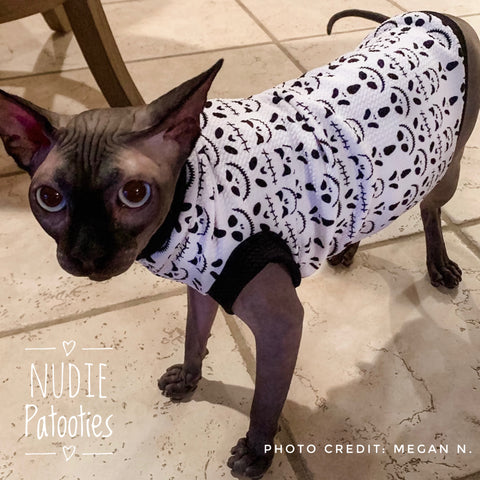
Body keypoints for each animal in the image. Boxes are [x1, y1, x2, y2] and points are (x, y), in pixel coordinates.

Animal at [1, 9, 479, 479]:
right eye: (49, 199)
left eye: (135, 193)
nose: (87, 256)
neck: (185, 203)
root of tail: (434, 13)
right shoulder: (203, 284)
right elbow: (194, 336)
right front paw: (189, 380)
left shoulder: (280, 323)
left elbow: (265, 401)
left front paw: (257, 453)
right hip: (380, 185)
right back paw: (345, 249)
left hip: (445, 169)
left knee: (429, 210)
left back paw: (439, 266)